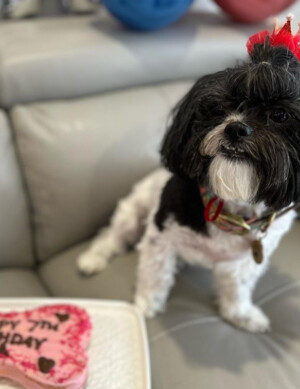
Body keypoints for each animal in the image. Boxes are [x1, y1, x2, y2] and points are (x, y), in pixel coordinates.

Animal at [77, 19, 300, 332]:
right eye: (219, 108)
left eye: (280, 115)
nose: (235, 128)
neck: (231, 209)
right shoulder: (160, 235)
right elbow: (154, 276)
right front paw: (143, 307)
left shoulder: (247, 260)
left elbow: (237, 288)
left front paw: (240, 314)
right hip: (132, 211)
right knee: (112, 235)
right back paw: (93, 258)